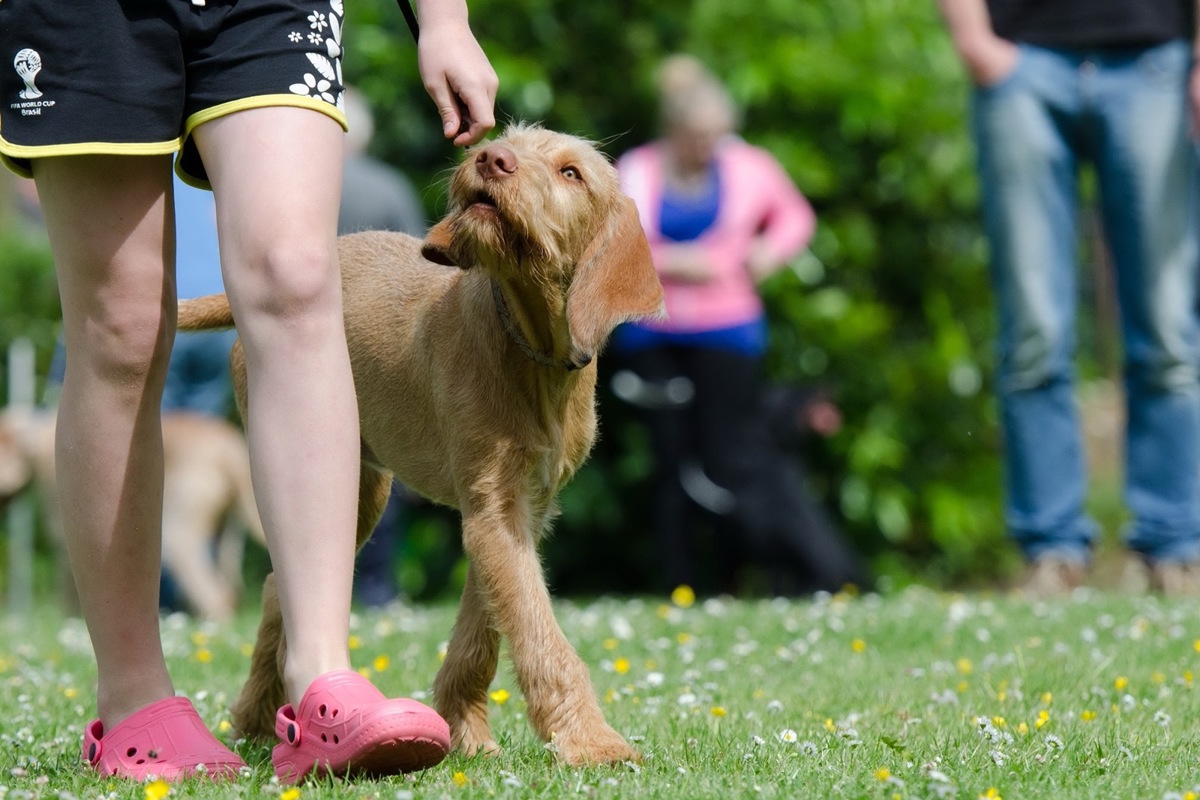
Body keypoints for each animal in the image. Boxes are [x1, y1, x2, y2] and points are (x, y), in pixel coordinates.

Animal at [0, 407, 265, 618]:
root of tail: (227, 450)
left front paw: (68, 620)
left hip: (178, 534)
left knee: (213, 595)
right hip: (227, 536)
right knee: (229, 589)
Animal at [178, 125, 667, 767]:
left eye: (571, 173)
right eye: (510, 140)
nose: (490, 157)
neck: (531, 349)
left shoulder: (517, 512)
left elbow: (484, 631)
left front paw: (466, 731)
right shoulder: (493, 510)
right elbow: (539, 632)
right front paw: (592, 740)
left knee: (275, 589)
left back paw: (259, 715)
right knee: (276, 586)